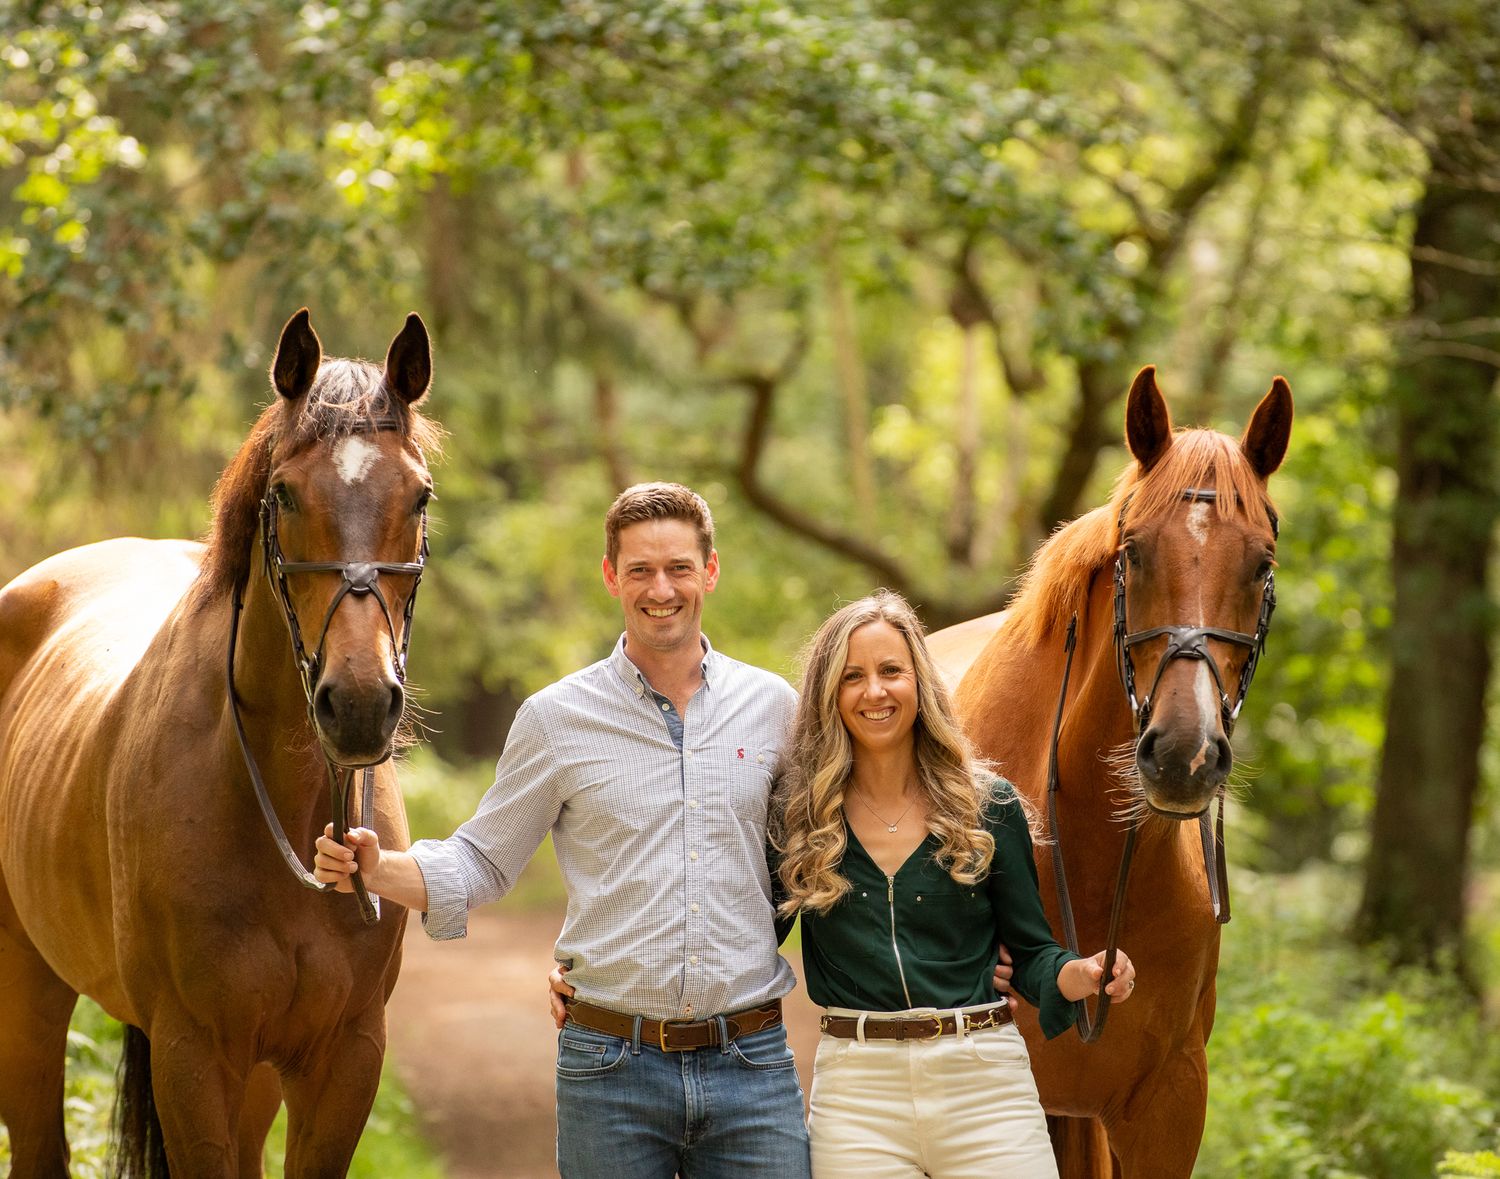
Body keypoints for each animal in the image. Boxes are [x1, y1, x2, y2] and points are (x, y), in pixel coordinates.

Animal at [0, 309, 440, 1176]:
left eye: (419, 494)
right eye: (286, 493)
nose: (359, 705)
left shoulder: (343, 1056)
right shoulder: (192, 1051)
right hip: (25, 987)